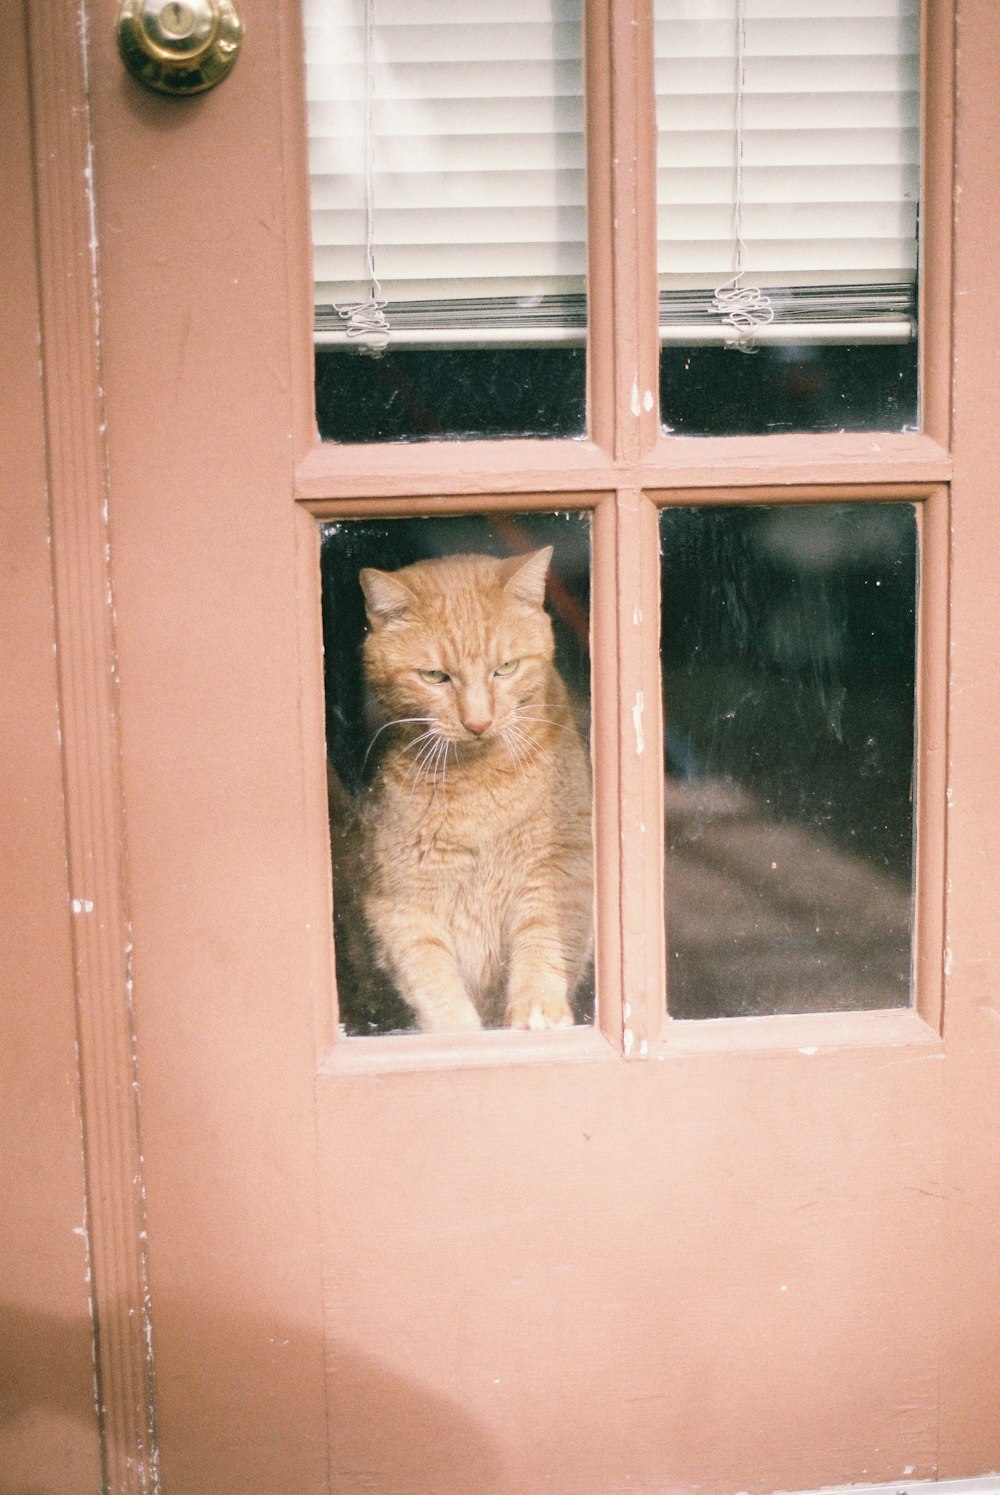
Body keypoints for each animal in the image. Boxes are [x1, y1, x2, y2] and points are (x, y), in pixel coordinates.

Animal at [352, 547, 591, 1028]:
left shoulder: (559, 871)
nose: (477, 723)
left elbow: (543, 943)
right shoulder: (402, 903)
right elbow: (431, 978)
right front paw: (458, 1031)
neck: (480, 782)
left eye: (506, 668)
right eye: (433, 676)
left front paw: (538, 1006)